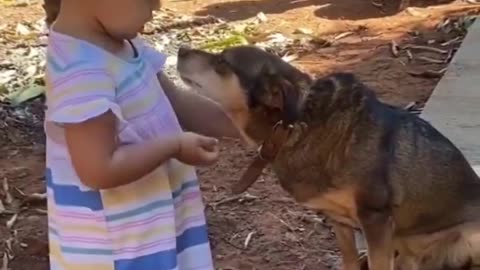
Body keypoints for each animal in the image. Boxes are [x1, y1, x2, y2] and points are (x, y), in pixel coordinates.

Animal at [176, 44, 480, 270]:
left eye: (222, 62)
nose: (179, 49)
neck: (298, 126)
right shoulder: (340, 221)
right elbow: (349, 261)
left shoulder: (376, 219)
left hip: (468, 234)